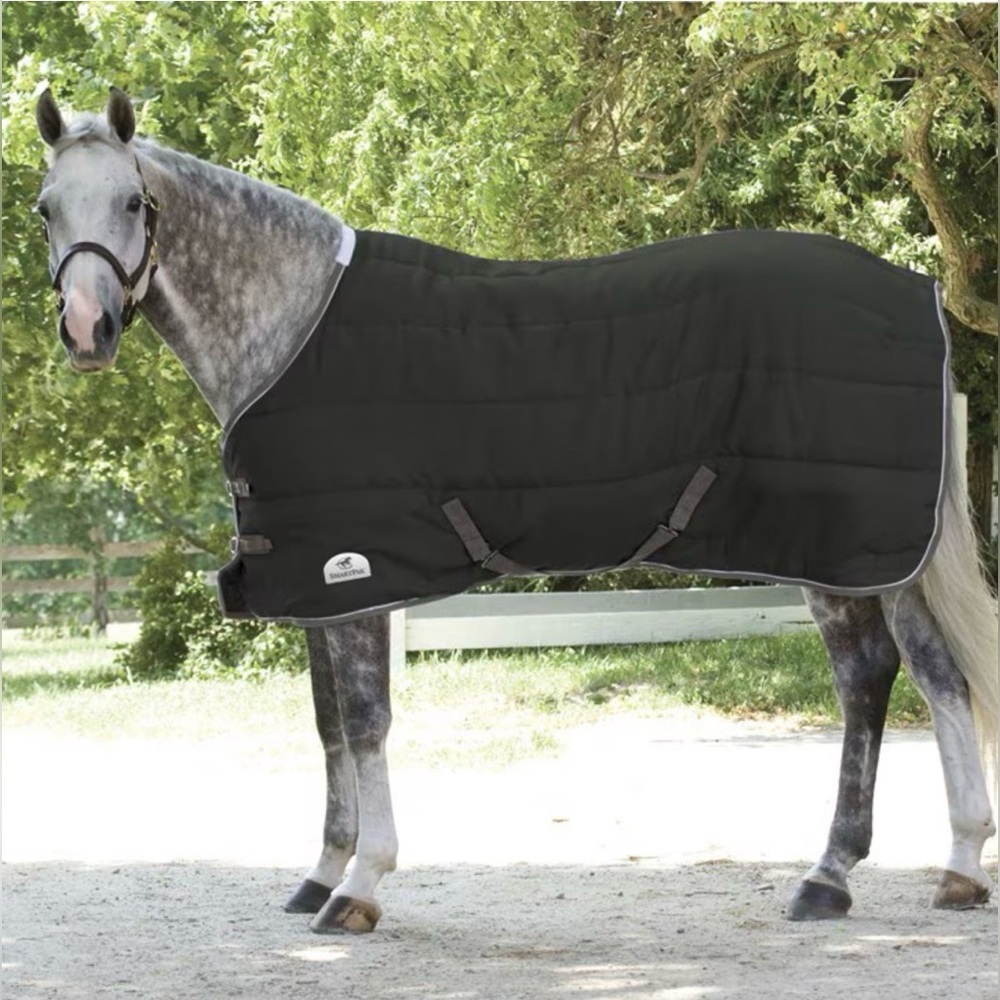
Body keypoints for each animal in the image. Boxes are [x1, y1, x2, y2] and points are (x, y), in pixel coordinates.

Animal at [34, 88, 997, 934]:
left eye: (133, 201)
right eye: (46, 209)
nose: (86, 330)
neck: (292, 328)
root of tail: (919, 298)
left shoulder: (355, 574)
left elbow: (366, 720)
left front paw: (361, 886)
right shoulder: (313, 584)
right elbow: (328, 724)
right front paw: (320, 873)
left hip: (834, 554)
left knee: (867, 679)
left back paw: (828, 876)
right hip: (887, 556)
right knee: (939, 675)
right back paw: (958, 867)